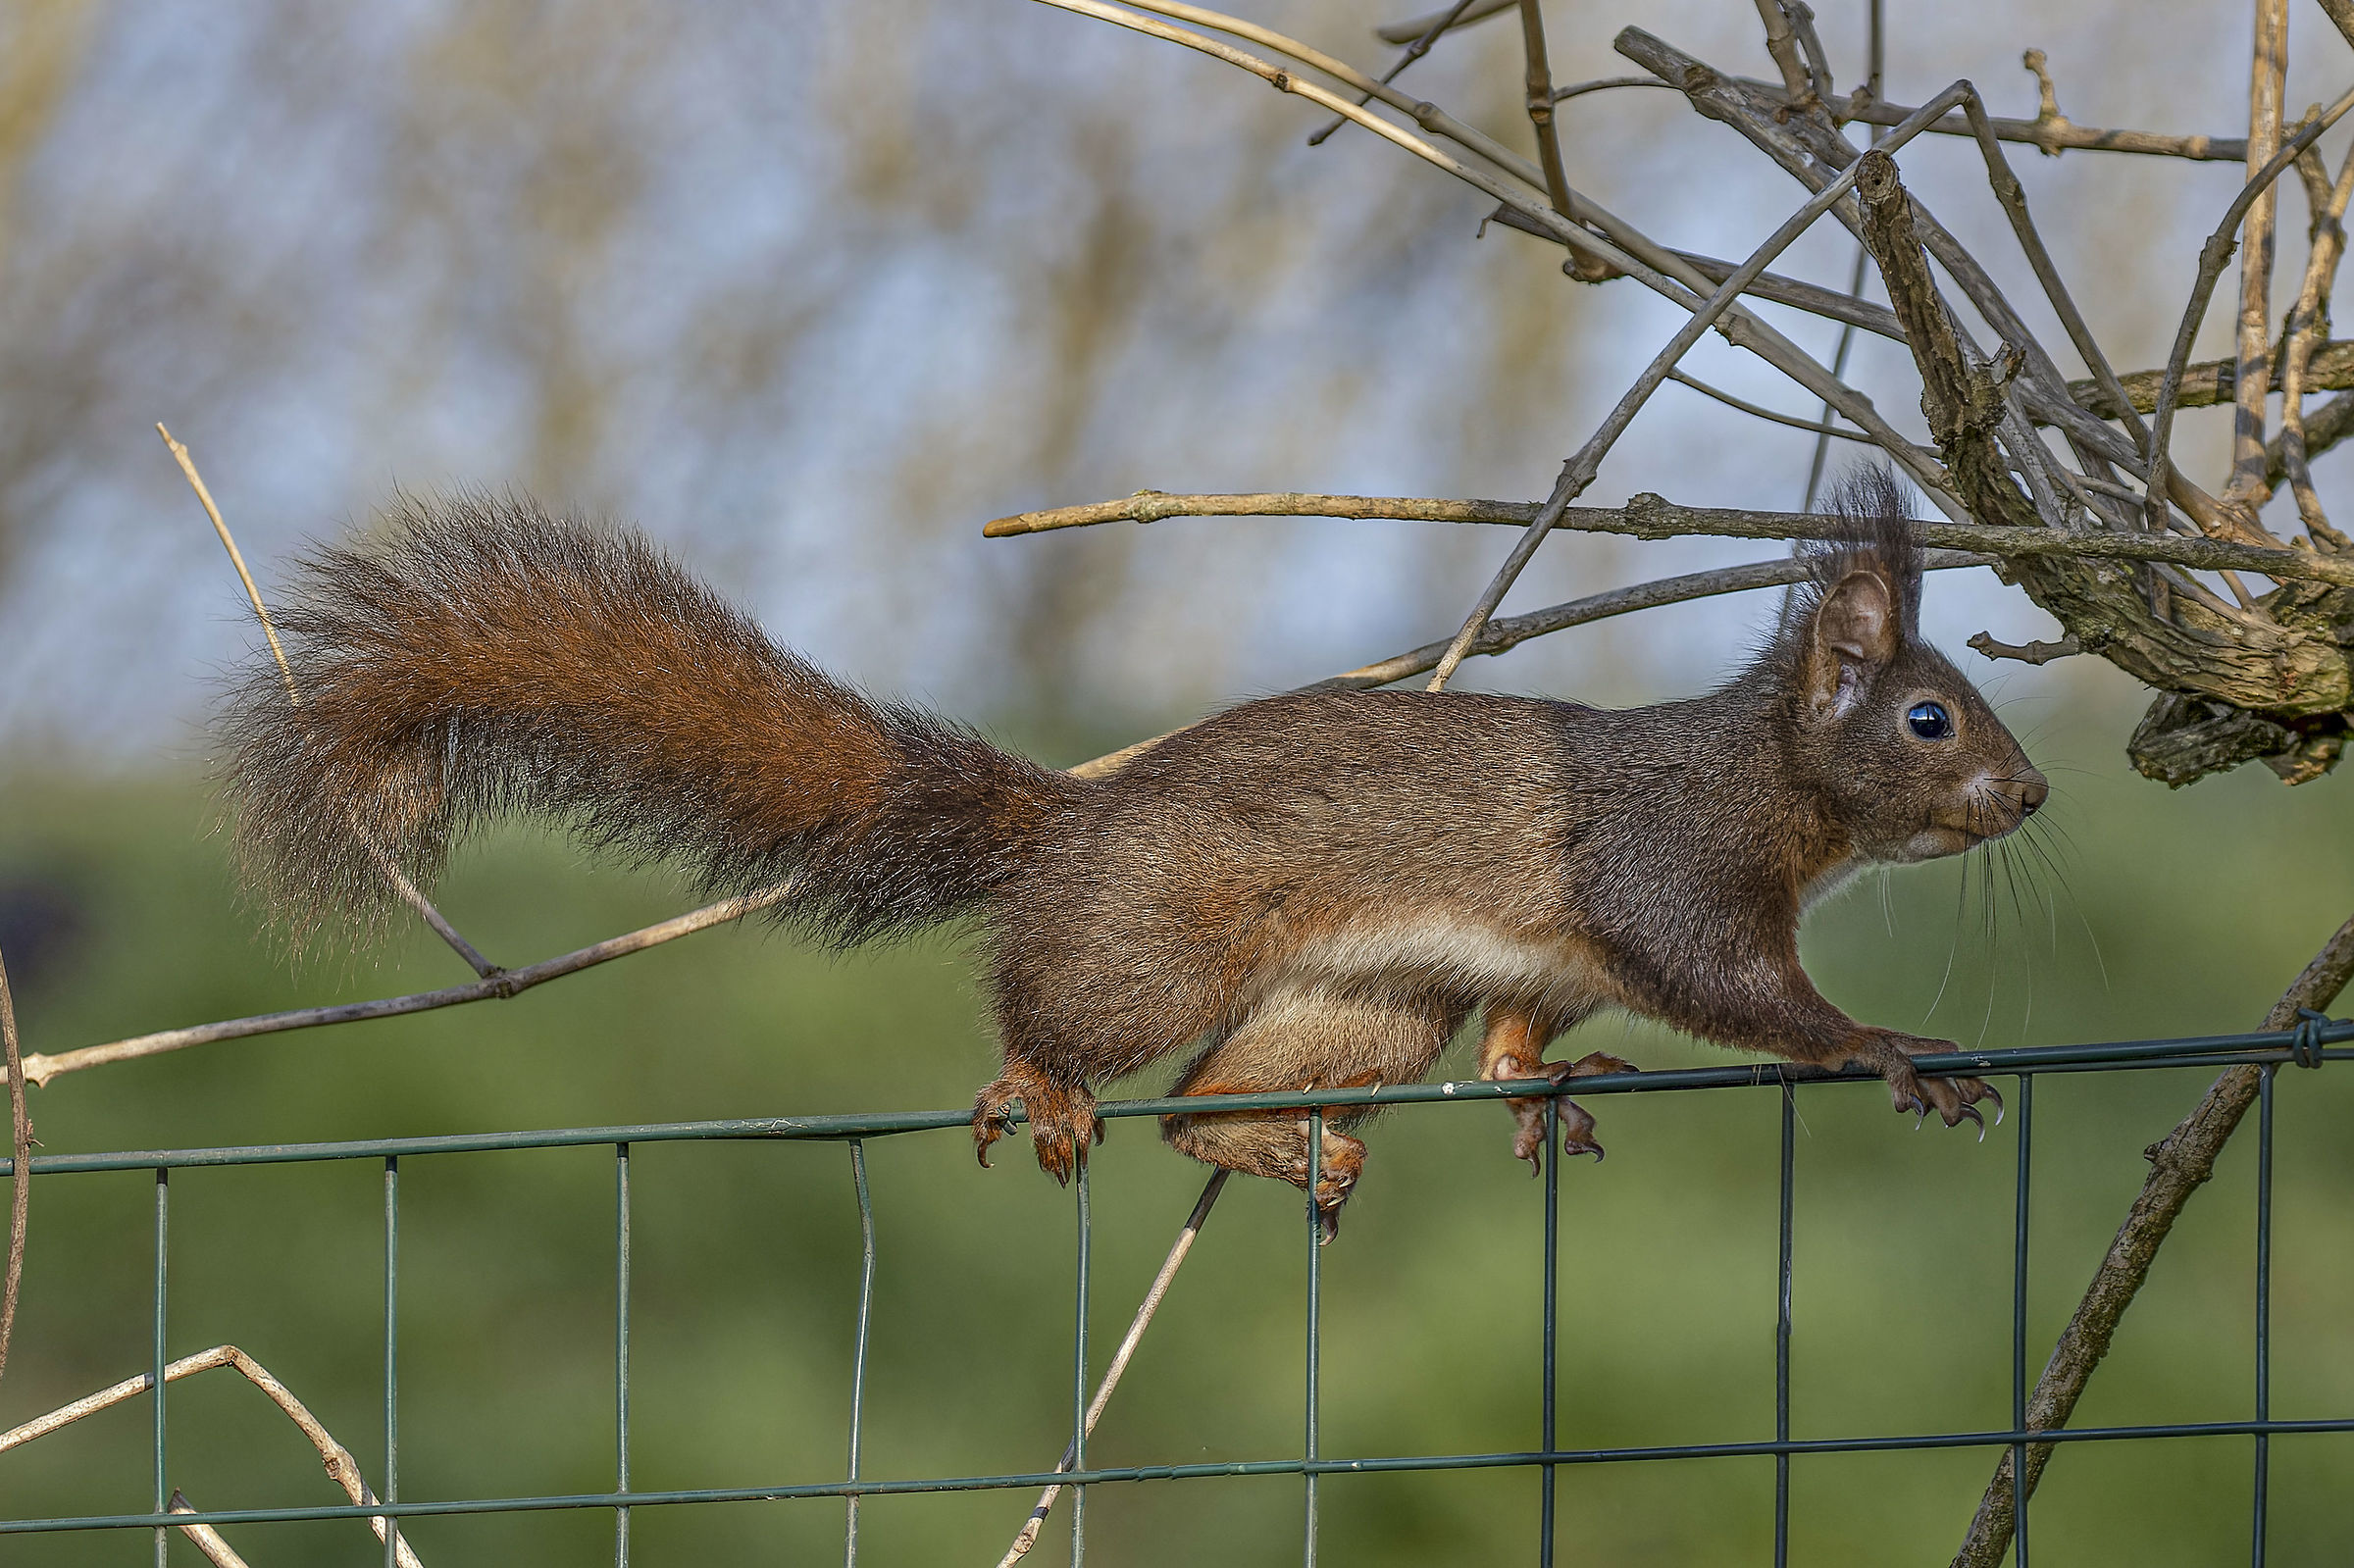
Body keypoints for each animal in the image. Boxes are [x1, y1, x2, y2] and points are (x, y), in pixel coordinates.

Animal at [218, 469, 2045, 1238]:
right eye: (1931, 716)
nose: (2031, 798)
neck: (1770, 787)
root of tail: (1075, 822)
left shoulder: (1555, 956)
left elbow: (1534, 1025)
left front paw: (1542, 1087)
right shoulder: (1670, 874)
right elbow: (1752, 996)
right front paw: (1893, 1046)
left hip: (1363, 1010)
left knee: (1207, 1103)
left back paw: (1285, 1151)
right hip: (1152, 948)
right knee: (1075, 1024)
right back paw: (1041, 1084)